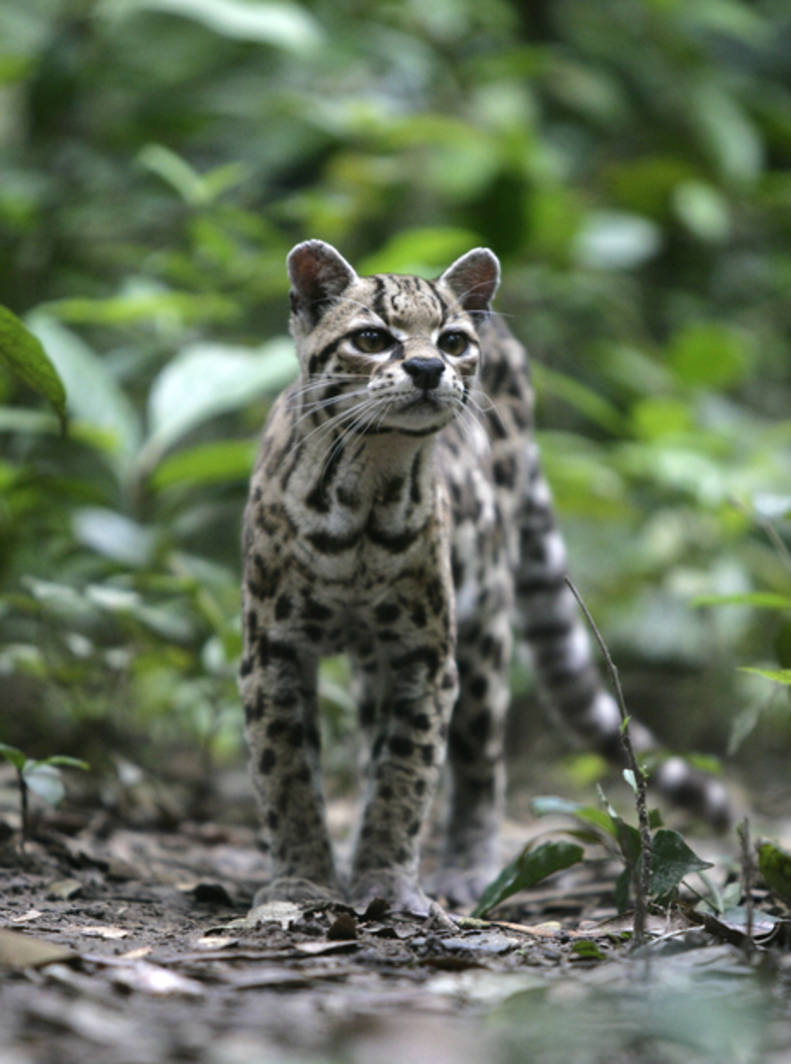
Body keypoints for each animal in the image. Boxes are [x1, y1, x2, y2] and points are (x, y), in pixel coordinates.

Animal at [239, 241, 728, 915]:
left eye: (451, 341)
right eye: (371, 338)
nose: (425, 367)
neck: (366, 486)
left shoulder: (425, 655)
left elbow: (407, 771)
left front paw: (387, 881)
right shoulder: (274, 650)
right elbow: (285, 771)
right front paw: (302, 882)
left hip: (484, 629)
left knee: (479, 763)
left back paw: (467, 870)